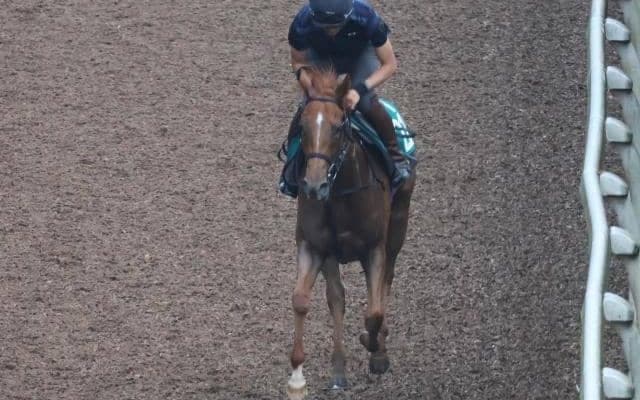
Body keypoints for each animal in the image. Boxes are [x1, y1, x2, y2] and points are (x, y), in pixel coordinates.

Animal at [286, 67, 416, 398]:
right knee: (338, 297)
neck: (342, 193)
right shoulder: (315, 246)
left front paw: (374, 347)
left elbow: (374, 312)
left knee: (386, 282)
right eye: (302, 127)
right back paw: (339, 370)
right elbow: (303, 300)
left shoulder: (375, 247)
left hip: (398, 224)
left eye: (336, 128)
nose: (313, 185)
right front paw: (297, 379)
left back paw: (379, 346)